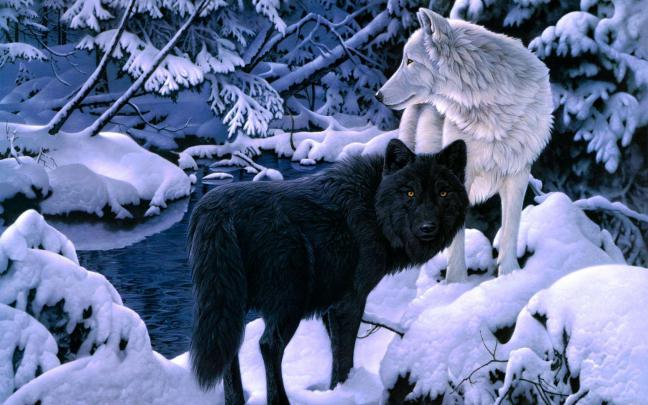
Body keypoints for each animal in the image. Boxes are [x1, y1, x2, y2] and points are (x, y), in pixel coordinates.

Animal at [188, 139, 468, 404]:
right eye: (410, 193)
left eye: (443, 193)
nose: (427, 227)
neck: (373, 207)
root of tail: (217, 210)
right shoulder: (351, 299)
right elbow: (344, 358)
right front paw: (346, 393)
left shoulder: (330, 306)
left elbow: (335, 352)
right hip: (289, 302)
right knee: (268, 345)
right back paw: (281, 400)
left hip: (230, 305)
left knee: (231, 349)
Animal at [376, 8, 553, 282]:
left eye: (410, 61)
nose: (378, 95)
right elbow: (456, 241)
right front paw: (456, 283)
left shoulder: (518, 174)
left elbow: (510, 230)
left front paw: (510, 276)